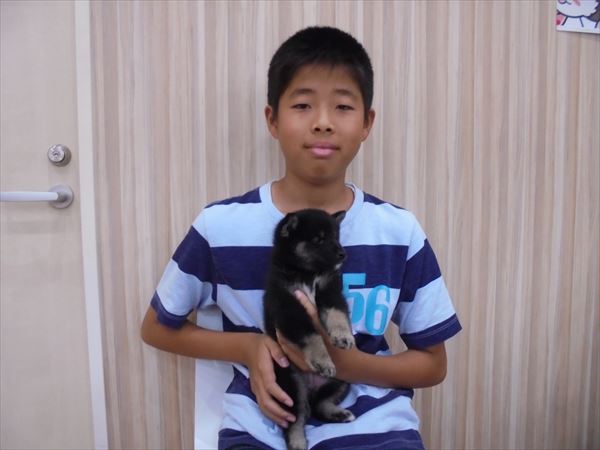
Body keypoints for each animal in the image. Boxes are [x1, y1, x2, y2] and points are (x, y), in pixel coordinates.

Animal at [263, 209, 355, 450]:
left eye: (336, 237)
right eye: (318, 240)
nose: (343, 254)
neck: (307, 274)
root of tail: (311, 389)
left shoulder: (330, 292)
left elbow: (338, 315)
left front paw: (343, 336)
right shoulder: (288, 309)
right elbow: (311, 336)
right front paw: (323, 359)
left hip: (342, 380)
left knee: (319, 405)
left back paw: (338, 414)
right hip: (290, 387)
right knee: (297, 417)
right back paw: (297, 442)